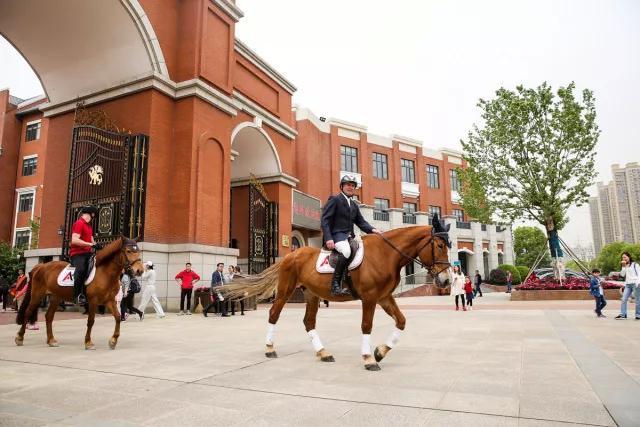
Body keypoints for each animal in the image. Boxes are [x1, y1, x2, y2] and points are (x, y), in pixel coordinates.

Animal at [14, 237, 145, 352]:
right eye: (128, 251)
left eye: (137, 251)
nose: (140, 270)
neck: (105, 273)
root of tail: (41, 266)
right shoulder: (93, 301)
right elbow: (91, 321)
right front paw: (88, 342)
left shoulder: (110, 301)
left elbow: (117, 317)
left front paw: (113, 341)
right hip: (37, 295)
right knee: (28, 312)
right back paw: (20, 337)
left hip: (55, 297)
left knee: (49, 316)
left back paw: (51, 340)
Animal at [222, 217, 452, 372]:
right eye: (440, 245)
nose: (446, 281)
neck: (386, 254)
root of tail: (292, 254)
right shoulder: (370, 298)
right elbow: (366, 326)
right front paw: (369, 359)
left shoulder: (384, 297)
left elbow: (401, 321)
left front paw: (379, 352)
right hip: (286, 290)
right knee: (273, 314)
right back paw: (270, 349)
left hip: (311, 294)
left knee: (309, 322)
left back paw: (323, 353)